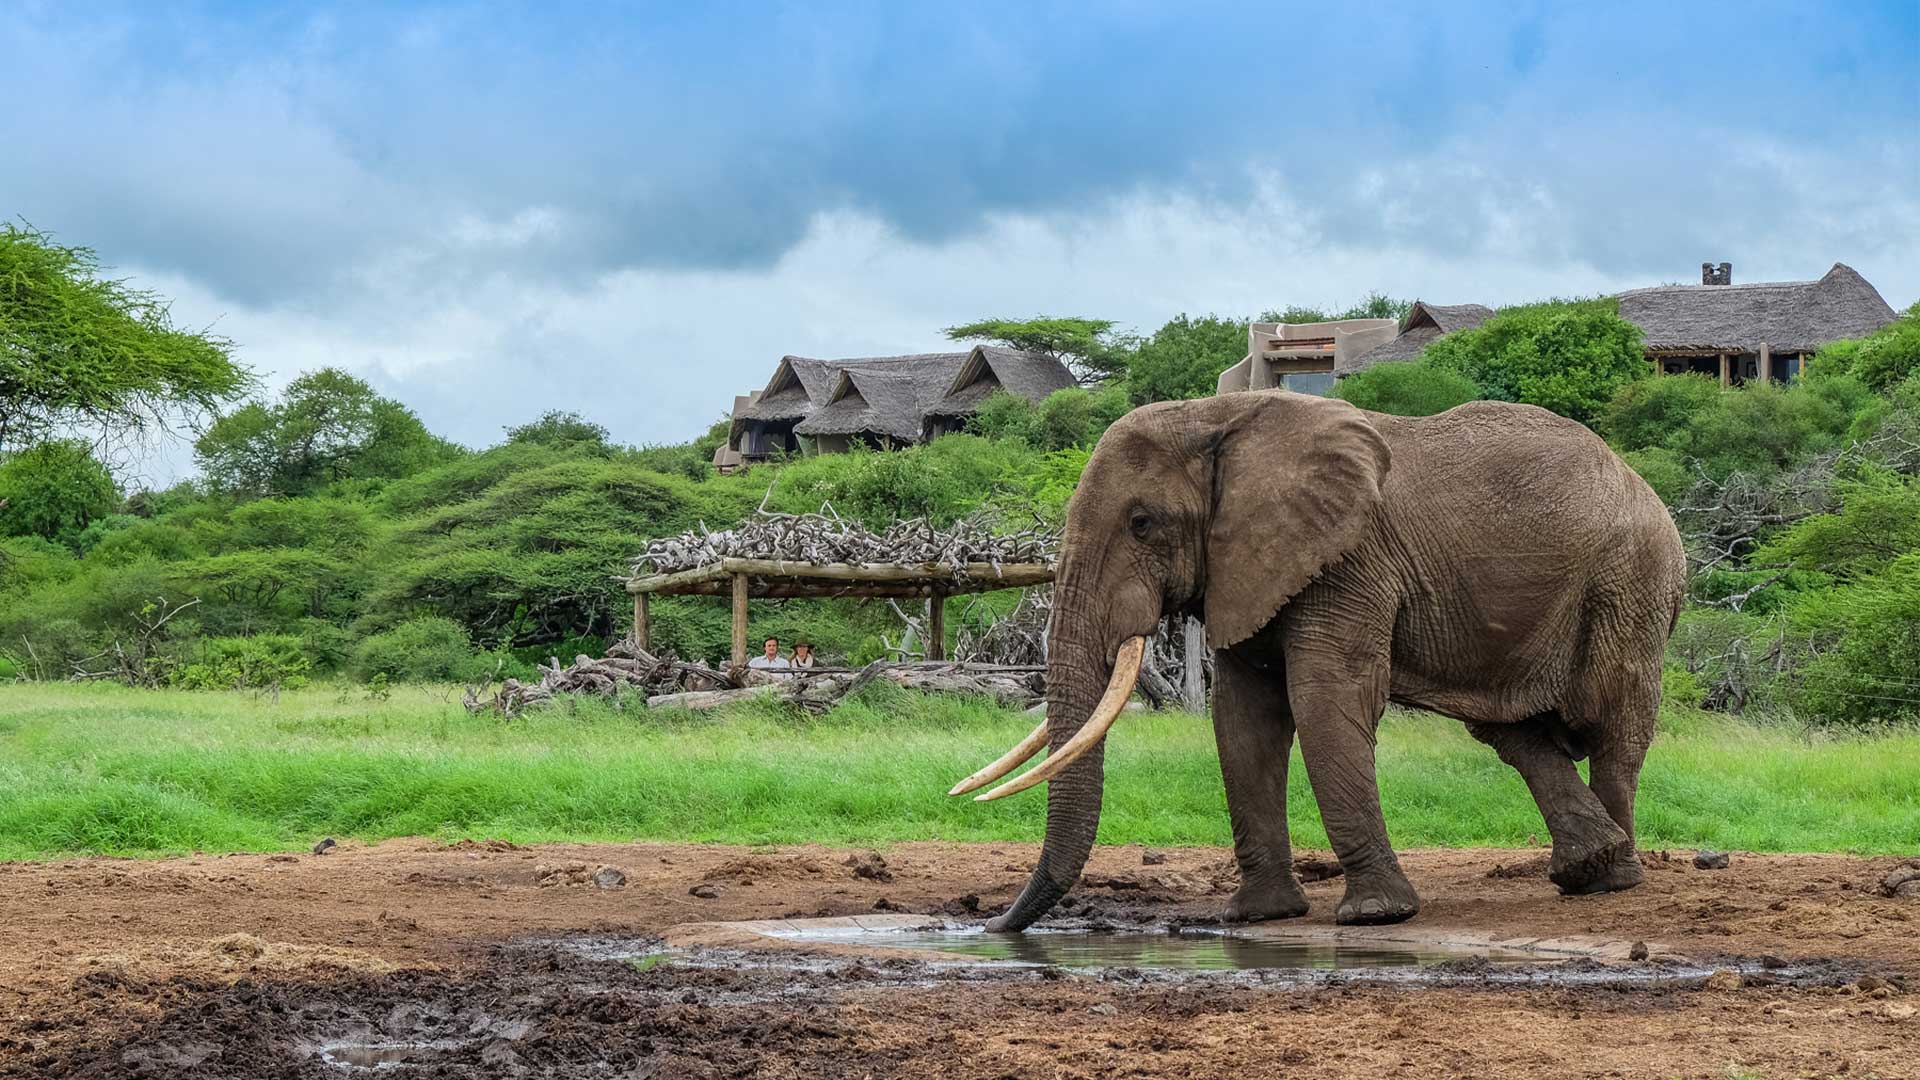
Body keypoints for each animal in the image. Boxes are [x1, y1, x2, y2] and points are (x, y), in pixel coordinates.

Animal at [952, 390, 1686, 931]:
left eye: (1142, 523)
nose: (992, 926)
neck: (1218, 419)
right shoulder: (1249, 567)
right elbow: (1243, 717)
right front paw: (1258, 917)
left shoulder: (1348, 560)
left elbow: (1325, 696)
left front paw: (1376, 917)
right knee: (1513, 729)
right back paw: (1587, 869)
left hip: (1630, 583)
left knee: (1613, 724)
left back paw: (1614, 881)